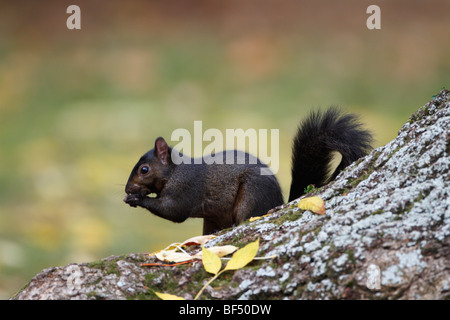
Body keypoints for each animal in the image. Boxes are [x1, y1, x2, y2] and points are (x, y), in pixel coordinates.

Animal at [124, 106, 372, 234]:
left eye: (144, 169)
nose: (127, 189)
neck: (175, 171)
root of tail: (279, 201)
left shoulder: (184, 188)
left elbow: (173, 211)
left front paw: (138, 199)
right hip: (212, 219)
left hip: (251, 196)